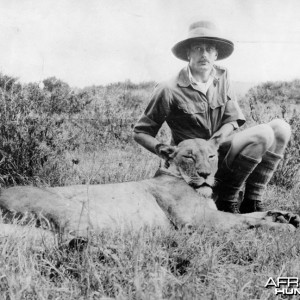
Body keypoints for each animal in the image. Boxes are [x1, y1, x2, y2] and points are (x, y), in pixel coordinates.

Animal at [0, 137, 298, 240]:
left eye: (212, 156)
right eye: (189, 156)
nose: (205, 175)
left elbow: (249, 216)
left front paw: (286, 216)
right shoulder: (197, 221)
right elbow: (245, 222)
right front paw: (283, 227)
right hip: (72, 211)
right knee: (74, 240)